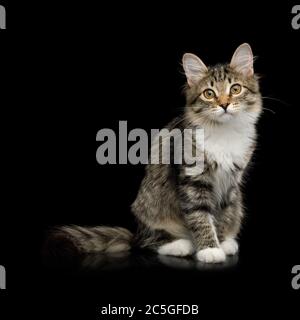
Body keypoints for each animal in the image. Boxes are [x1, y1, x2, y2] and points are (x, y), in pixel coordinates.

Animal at [50, 43, 262, 264]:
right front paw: (209, 249)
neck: (224, 132)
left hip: (237, 202)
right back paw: (180, 245)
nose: (224, 105)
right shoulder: (193, 181)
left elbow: (221, 217)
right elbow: (200, 217)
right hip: (151, 210)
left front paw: (219, 243)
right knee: (148, 242)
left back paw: (226, 243)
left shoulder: (230, 185)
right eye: (209, 93)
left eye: (235, 89)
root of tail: (135, 233)